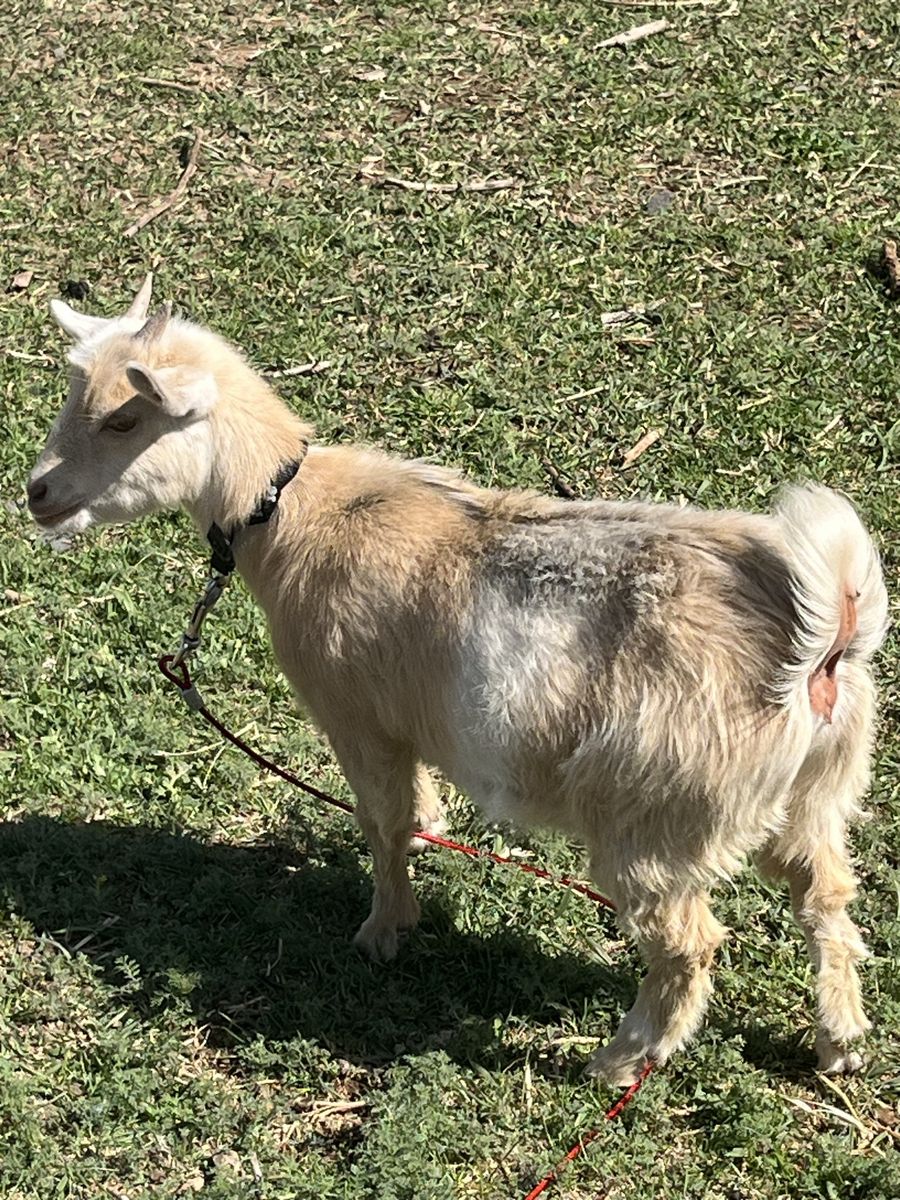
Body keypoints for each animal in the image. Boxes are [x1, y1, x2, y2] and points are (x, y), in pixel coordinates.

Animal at [27, 276, 888, 1085]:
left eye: (122, 421)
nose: (38, 494)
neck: (296, 512)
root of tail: (823, 645)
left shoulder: (358, 719)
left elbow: (384, 822)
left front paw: (383, 932)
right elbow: (414, 813)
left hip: (658, 819)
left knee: (690, 944)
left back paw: (616, 1061)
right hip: (814, 796)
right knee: (826, 897)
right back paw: (838, 1045)